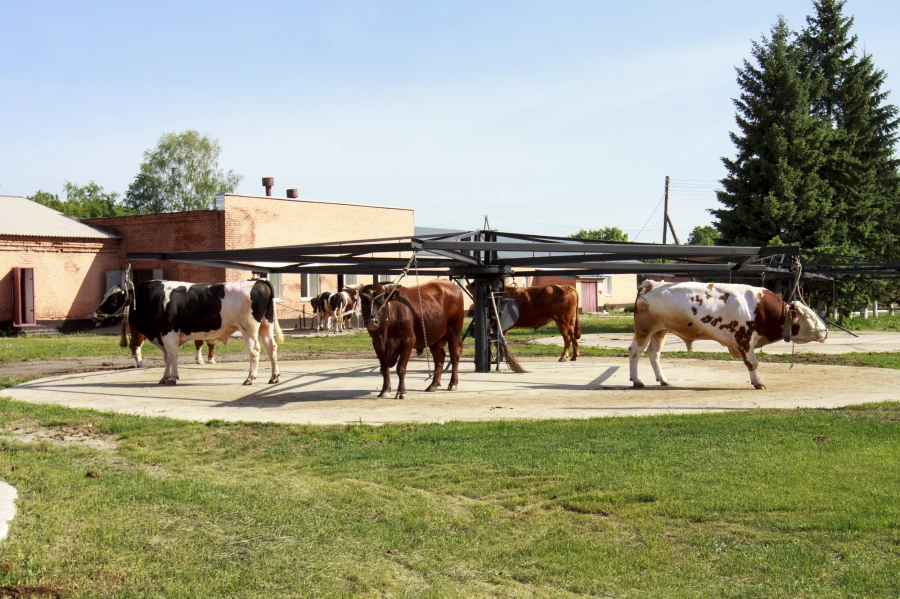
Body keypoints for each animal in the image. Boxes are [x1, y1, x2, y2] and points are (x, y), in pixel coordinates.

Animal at [95, 280, 282, 386]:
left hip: (248, 329)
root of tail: (258, 282)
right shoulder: (162, 337)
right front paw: (164, 378)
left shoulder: (168, 334)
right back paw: (274, 377)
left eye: (112, 298)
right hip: (266, 325)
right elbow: (166, 358)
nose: (95, 314)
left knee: (255, 351)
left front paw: (172, 378)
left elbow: (172, 357)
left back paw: (250, 378)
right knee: (271, 348)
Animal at [628, 280, 828, 390]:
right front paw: (757, 382)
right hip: (644, 330)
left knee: (654, 353)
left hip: (661, 330)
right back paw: (637, 380)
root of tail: (651, 283)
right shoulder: (744, 338)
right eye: (810, 316)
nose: (825, 331)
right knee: (635, 351)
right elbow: (752, 363)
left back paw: (663, 379)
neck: (760, 308)